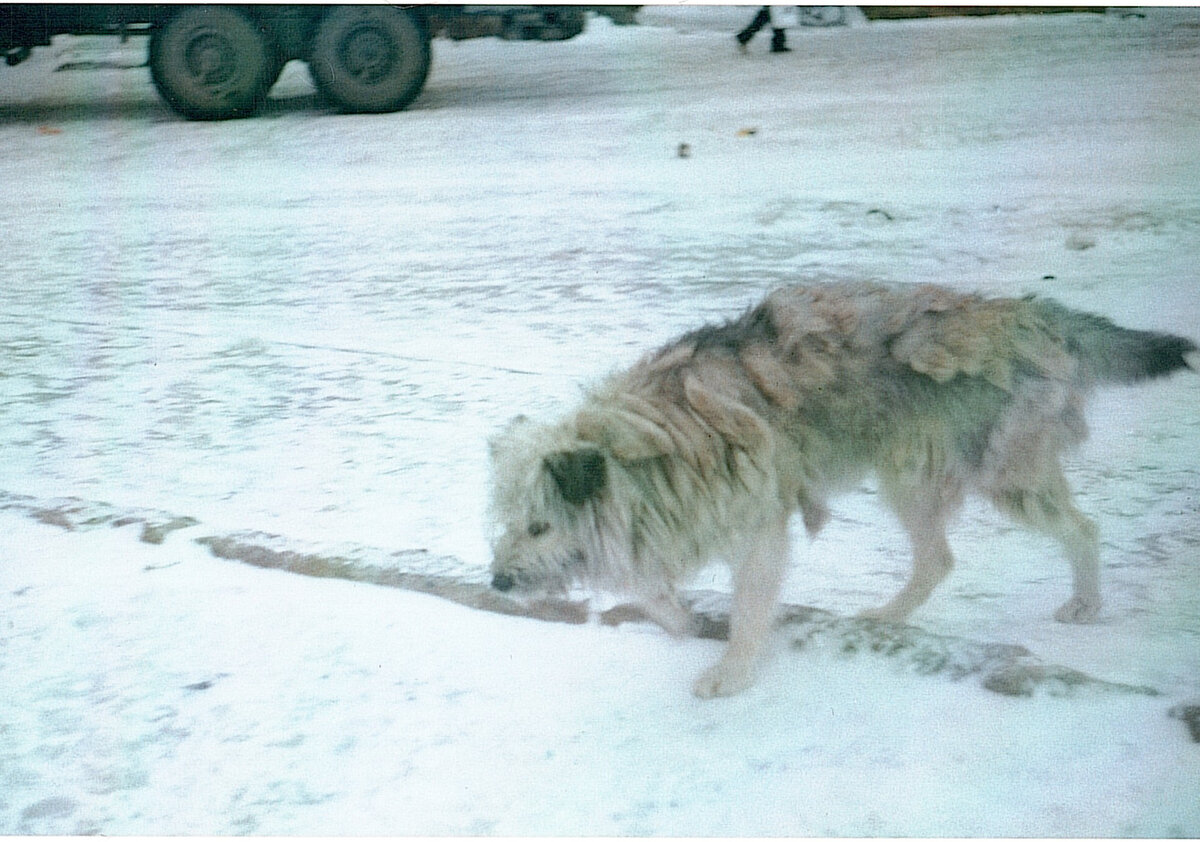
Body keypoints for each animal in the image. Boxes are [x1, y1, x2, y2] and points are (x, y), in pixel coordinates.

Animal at [484, 283, 1190, 700]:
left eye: (540, 526)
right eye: (508, 522)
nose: (498, 582)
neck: (647, 445)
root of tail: (1030, 314)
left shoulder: (757, 526)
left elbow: (748, 610)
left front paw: (732, 671)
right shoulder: (674, 521)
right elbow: (652, 590)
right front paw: (684, 624)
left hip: (1003, 471)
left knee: (1081, 528)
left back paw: (1086, 603)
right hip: (910, 475)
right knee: (937, 560)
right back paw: (884, 618)